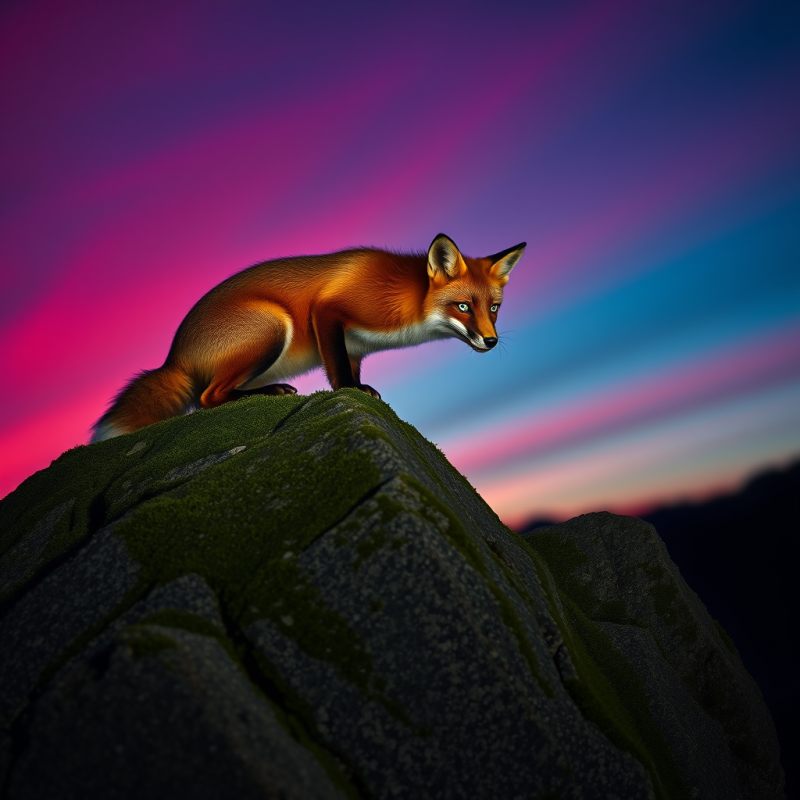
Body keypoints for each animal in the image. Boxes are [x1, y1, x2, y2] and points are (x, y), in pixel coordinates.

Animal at [91, 233, 526, 441]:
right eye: (463, 307)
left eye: (494, 308)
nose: (491, 341)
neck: (404, 297)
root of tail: (174, 354)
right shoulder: (328, 310)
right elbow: (339, 374)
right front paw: (351, 393)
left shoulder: (354, 345)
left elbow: (346, 367)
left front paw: (362, 388)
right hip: (271, 327)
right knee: (206, 398)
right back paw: (268, 393)